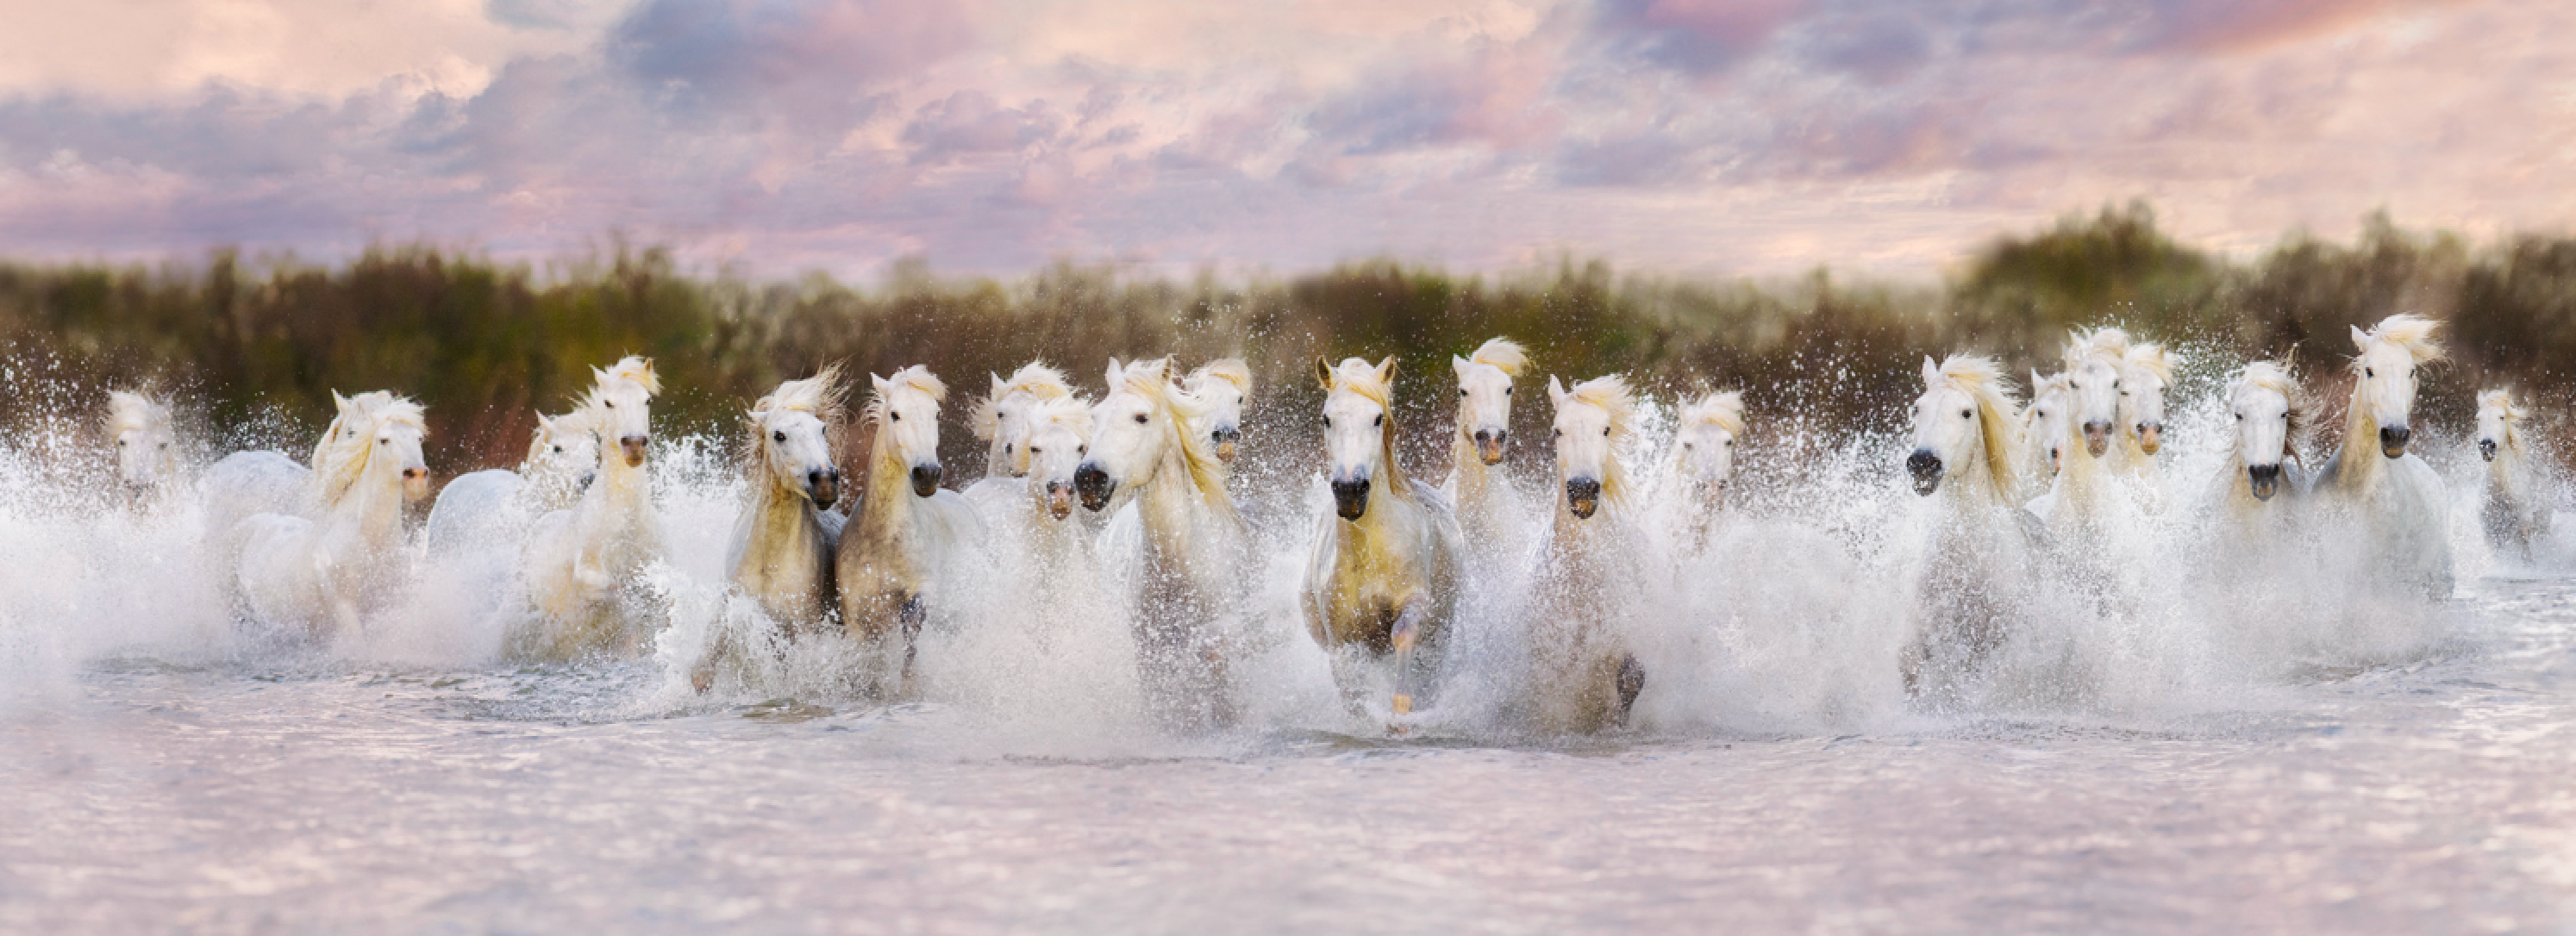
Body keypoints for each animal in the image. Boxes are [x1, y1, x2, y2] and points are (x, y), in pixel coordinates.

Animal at [513, 356, 665, 658]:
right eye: (608, 403)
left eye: (647, 400)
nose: (634, 445)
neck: (626, 521)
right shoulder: (589, 575)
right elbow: (610, 589)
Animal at [835, 365, 987, 698]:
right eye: (895, 414)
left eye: (936, 413)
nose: (927, 474)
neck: (882, 538)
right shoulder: (854, 614)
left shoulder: (923, 586)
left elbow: (911, 625)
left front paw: (907, 684)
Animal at [1075, 357, 1248, 727]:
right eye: (1095, 416)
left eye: (1141, 417)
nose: (1089, 478)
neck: (1179, 565)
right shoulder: (1151, 656)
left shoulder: (1219, 646)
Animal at [1301, 356, 1465, 718]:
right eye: (1327, 419)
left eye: (1377, 418)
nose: (1350, 490)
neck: (1370, 552)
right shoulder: (1342, 642)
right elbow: (1353, 696)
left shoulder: (1415, 601)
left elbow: (1403, 634)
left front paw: (1401, 712)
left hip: (1440, 639)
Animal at [2476, 389, 2551, 561]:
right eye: (2478, 418)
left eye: (2502, 417)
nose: (2487, 446)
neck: (2503, 487)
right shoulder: (2490, 525)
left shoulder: (2525, 516)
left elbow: (2523, 537)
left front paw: (2528, 562)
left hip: (2543, 524)